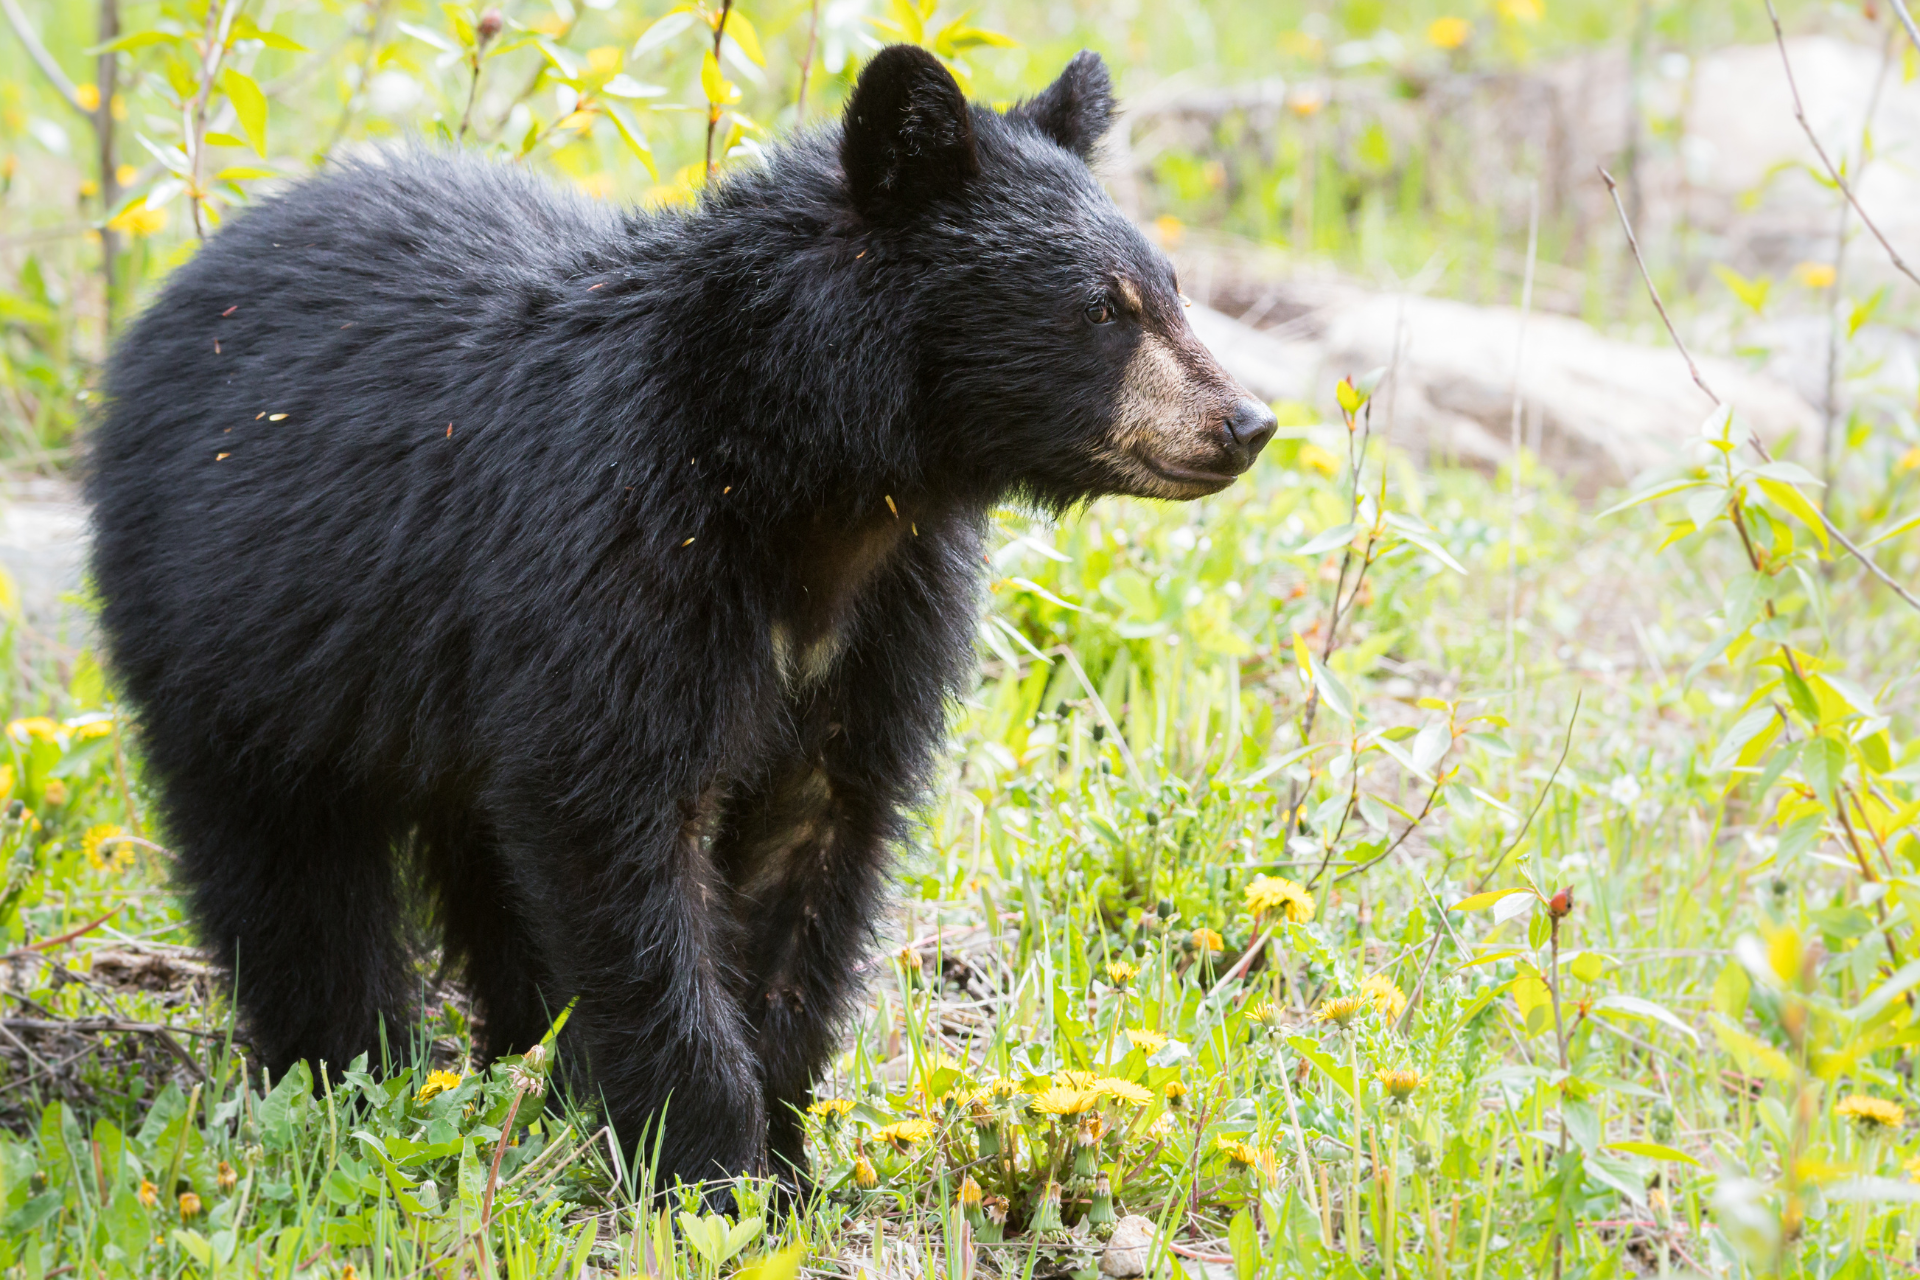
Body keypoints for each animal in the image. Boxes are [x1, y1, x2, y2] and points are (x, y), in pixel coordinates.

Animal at [84, 44, 1275, 1189]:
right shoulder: (616, 551)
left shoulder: (887, 615)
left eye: (1170, 287)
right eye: (1104, 308)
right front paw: (704, 1164)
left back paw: (531, 1073)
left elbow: (815, 841)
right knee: (288, 869)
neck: (813, 487)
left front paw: (783, 1162)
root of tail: (182, 287)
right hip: (234, 626)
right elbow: (615, 823)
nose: (1247, 422)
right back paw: (350, 1070)